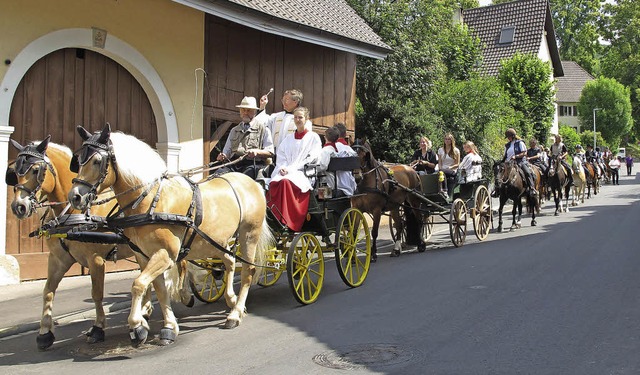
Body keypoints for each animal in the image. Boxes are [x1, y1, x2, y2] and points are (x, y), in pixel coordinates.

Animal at [5, 137, 184, 352]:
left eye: (35, 169)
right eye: (14, 171)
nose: (19, 207)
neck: (75, 214)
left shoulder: (95, 259)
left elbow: (97, 294)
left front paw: (98, 328)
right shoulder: (58, 259)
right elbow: (48, 291)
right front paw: (45, 333)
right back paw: (145, 310)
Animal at [67, 125, 276, 348]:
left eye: (97, 161)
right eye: (78, 160)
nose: (75, 197)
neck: (153, 200)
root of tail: (250, 182)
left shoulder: (165, 254)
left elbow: (138, 284)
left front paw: (137, 326)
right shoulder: (144, 255)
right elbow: (158, 288)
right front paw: (168, 327)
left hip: (248, 234)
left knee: (247, 271)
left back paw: (235, 314)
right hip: (217, 241)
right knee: (229, 262)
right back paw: (232, 300)